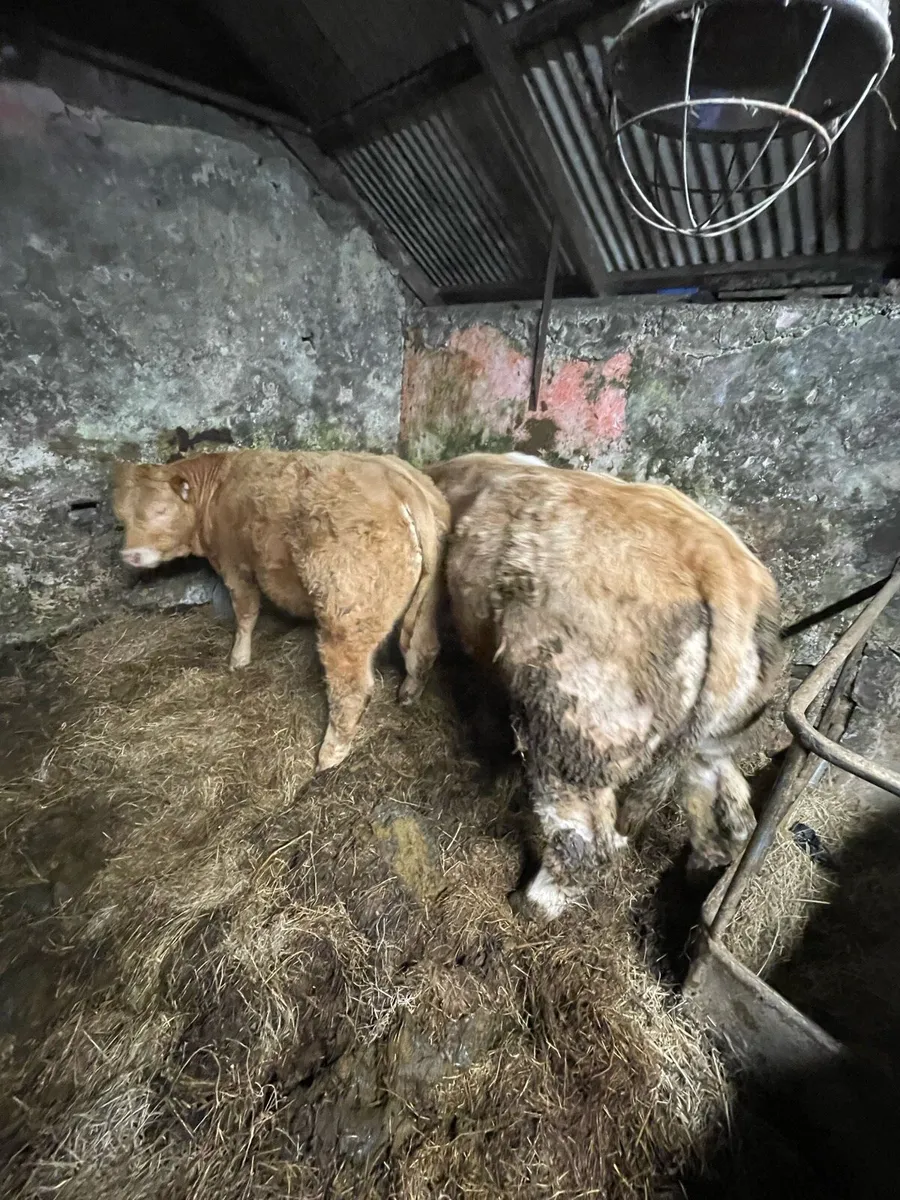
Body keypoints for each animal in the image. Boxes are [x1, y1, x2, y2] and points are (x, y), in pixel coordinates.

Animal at [113, 450, 450, 772]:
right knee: (423, 649)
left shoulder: (236, 565)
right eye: (123, 517)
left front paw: (238, 659)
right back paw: (408, 694)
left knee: (351, 689)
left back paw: (329, 757)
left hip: (344, 618)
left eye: (161, 510)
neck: (219, 486)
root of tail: (394, 479)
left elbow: (246, 611)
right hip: (427, 606)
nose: (129, 555)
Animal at [425, 453, 782, 921]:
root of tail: (724, 570)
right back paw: (704, 870)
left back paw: (531, 903)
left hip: (578, 729)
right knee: (728, 806)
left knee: (589, 841)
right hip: (714, 737)